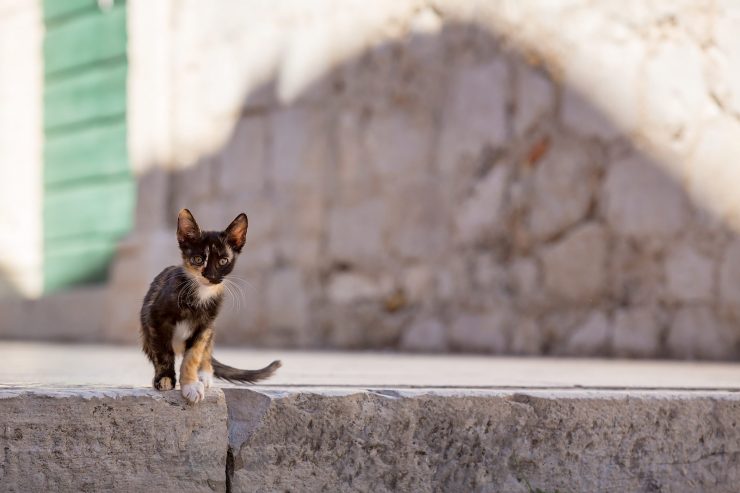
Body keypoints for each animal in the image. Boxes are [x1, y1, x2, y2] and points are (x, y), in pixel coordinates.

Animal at [139, 209, 280, 404]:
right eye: (198, 259)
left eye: (223, 261)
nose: (211, 276)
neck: (200, 294)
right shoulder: (155, 317)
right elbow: (163, 352)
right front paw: (165, 378)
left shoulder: (205, 326)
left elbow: (193, 355)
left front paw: (190, 384)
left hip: (211, 329)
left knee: (206, 351)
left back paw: (204, 374)